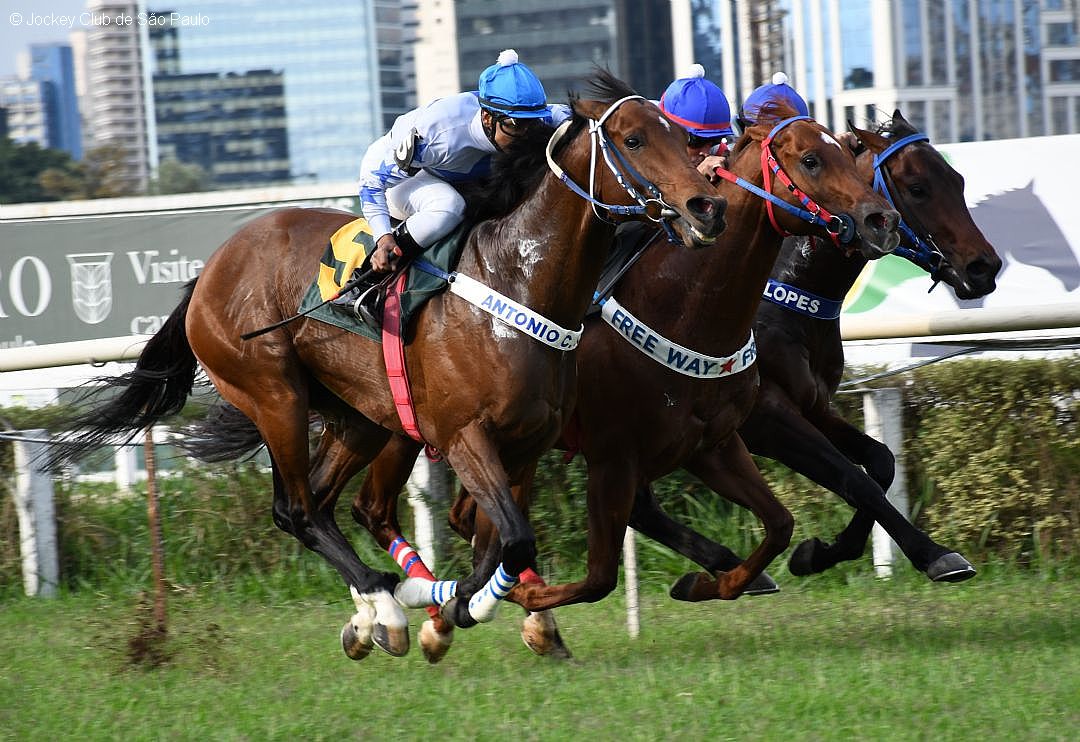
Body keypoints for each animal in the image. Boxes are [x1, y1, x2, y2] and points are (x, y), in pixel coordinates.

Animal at [48, 72, 725, 660]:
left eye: (676, 132)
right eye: (634, 139)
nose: (706, 206)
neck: (517, 280)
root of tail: (209, 271)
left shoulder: (527, 444)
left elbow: (496, 541)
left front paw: (473, 607)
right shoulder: (464, 436)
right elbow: (509, 537)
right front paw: (453, 607)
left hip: (360, 417)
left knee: (323, 504)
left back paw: (378, 612)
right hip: (275, 395)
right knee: (296, 509)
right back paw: (390, 604)